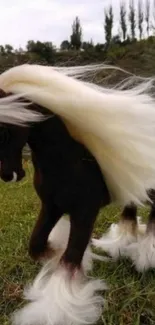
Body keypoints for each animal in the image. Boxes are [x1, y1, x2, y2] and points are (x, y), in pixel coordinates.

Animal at [0, 64, 154, 324]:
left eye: (4, 129)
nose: (9, 175)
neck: (67, 161)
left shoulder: (85, 213)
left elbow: (69, 259)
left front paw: (57, 309)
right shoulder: (51, 207)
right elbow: (37, 245)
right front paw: (67, 256)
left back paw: (146, 254)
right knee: (131, 209)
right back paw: (122, 243)